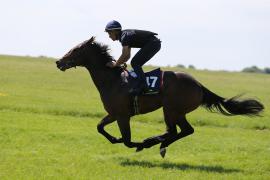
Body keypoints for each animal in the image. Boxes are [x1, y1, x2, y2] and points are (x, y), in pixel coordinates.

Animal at [56, 36, 264, 158]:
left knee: (176, 131)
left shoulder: (123, 115)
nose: (58, 62)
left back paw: (153, 143)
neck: (112, 80)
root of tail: (198, 85)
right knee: (182, 131)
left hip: (171, 109)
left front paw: (138, 143)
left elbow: (128, 140)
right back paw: (159, 144)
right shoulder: (114, 113)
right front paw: (116, 139)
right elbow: (100, 127)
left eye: (75, 50)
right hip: (176, 111)